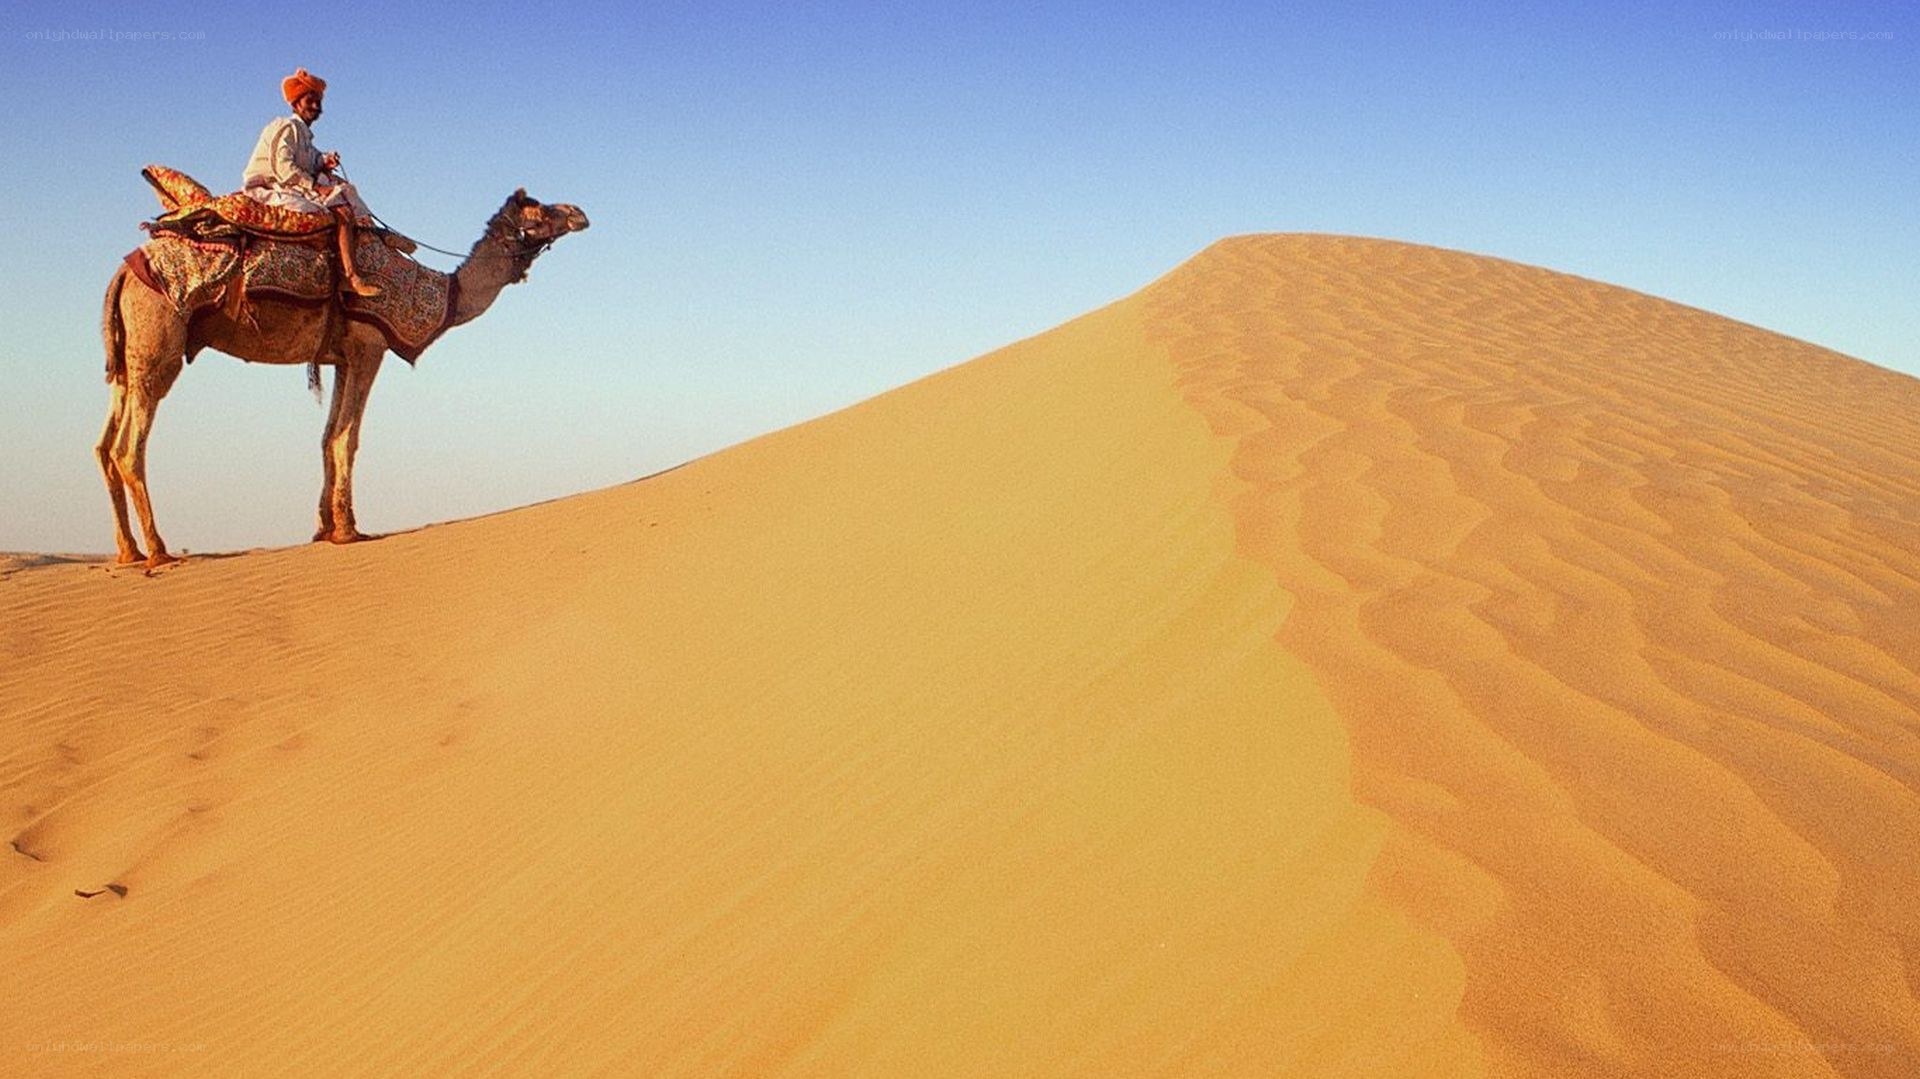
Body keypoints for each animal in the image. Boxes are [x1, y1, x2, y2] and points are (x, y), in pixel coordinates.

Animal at [97, 189, 589, 567]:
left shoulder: (339, 357)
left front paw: (323, 529)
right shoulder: (369, 347)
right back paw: (159, 551)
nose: (579, 212)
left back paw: (128, 553)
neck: (441, 294)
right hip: (158, 344)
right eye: (539, 210)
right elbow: (347, 438)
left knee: (103, 446)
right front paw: (350, 530)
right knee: (128, 448)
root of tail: (120, 275)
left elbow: (326, 436)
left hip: (126, 359)